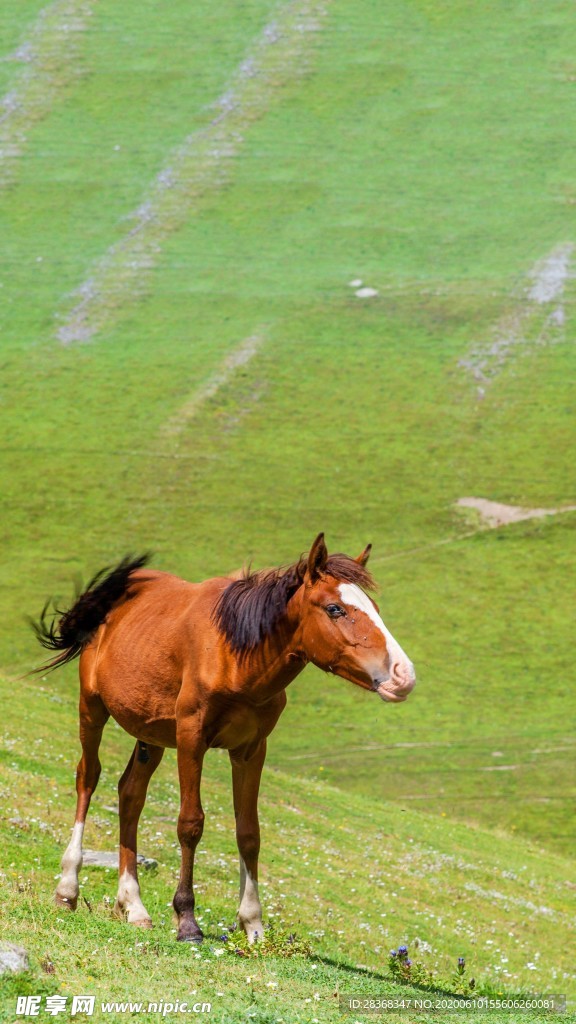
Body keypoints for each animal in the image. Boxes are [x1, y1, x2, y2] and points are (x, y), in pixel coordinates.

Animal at [32, 533, 416, 943]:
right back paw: (67, 888)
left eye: (374, 608)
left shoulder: (250, 750)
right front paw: (186, 920)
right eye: (335, 608)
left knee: (130, 794)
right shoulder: (191, 738)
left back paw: (133, 905)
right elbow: (190, 823)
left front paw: (253, 924)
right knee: (87, 778)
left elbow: (249, 833)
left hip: (150, 733)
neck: (236, 655)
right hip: (91, 709)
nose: (403, 674)